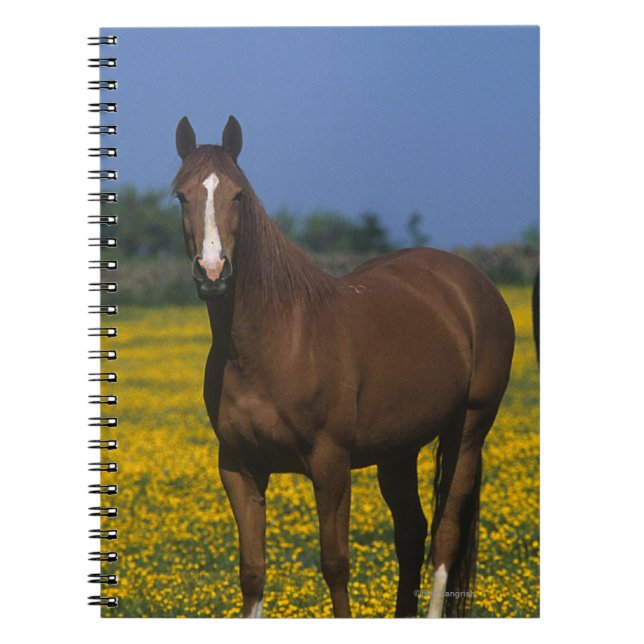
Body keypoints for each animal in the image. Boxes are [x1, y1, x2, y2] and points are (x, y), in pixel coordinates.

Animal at [172, 115, 515, 618]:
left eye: (238, 194)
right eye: (181, 195)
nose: (213, 272)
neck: (272, 344)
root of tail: (473, 284)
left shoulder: (330, 464)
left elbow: (335, 564)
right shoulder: (239, 467)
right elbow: (252, 572)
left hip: (468, 430)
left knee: (445, 536)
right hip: (399, 449)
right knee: (411, 533)